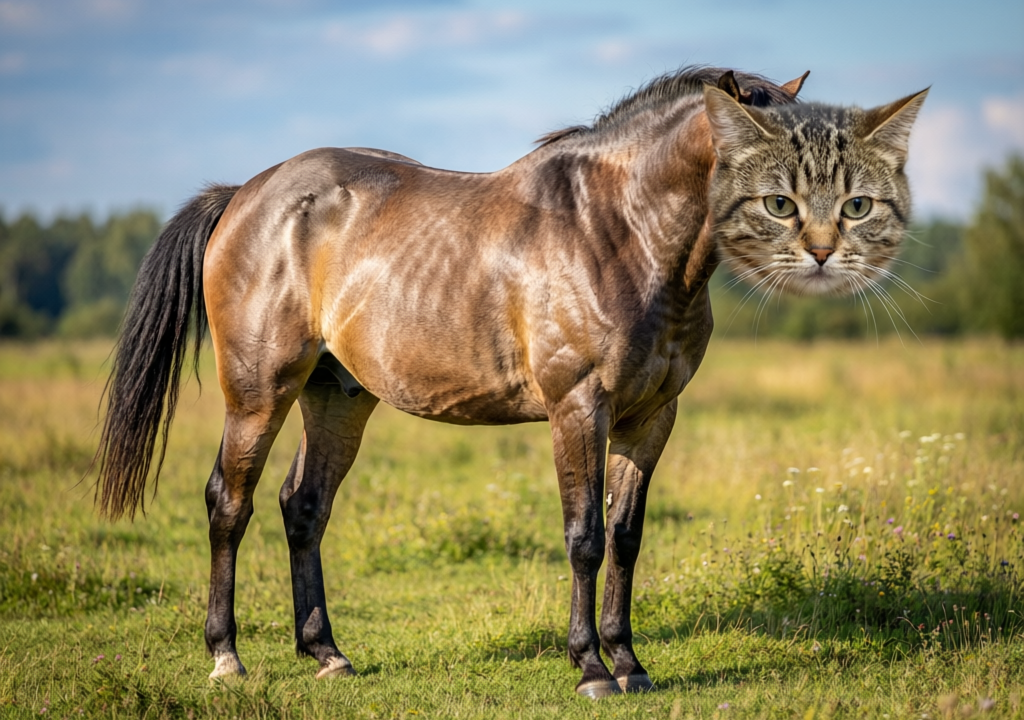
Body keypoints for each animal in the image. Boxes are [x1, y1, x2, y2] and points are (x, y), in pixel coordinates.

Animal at [94, 66, 809, 698]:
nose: (821, 246)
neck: (619, 233)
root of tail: (245, 194)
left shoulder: (651, 418)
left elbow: (625, 540)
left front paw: (629, 663)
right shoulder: (578, 408)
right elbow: (584, 538)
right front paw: (591, 669)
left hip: (336, 398)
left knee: (303, 507)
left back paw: (327, 654)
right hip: (258, 394)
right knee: (228, 503)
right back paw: (226, 657)